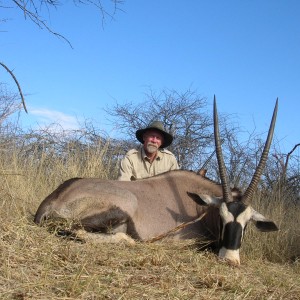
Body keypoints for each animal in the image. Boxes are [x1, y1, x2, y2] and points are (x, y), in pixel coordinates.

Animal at [33, 96, 278, 264]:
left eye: (247, 223)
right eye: (222, 217)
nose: (230, 260)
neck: (200, 209)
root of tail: (53, 198)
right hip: (118, 209)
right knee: (73, 230)